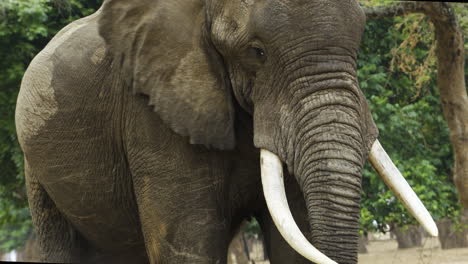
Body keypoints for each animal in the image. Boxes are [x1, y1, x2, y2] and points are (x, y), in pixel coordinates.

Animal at [15, 0, 438, 264]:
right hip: (35, 169)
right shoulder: (152, 110)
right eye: (257, 52)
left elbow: (296, 240)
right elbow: (190, 246)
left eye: (359, 43)